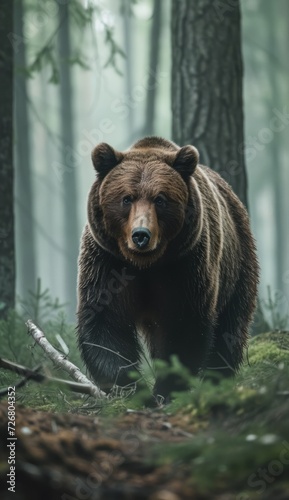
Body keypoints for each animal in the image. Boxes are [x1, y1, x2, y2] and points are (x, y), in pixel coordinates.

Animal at [76, 137, 258, 398]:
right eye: (127, 198)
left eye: (160, 199)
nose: (141, 235)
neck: (146, 264)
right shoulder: (107, 262)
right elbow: (106, 323)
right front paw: (129, 387)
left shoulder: (186, 265)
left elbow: (184, 325)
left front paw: (165, 389)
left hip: (238, 263)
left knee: (230, 326)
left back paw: (217, 377)